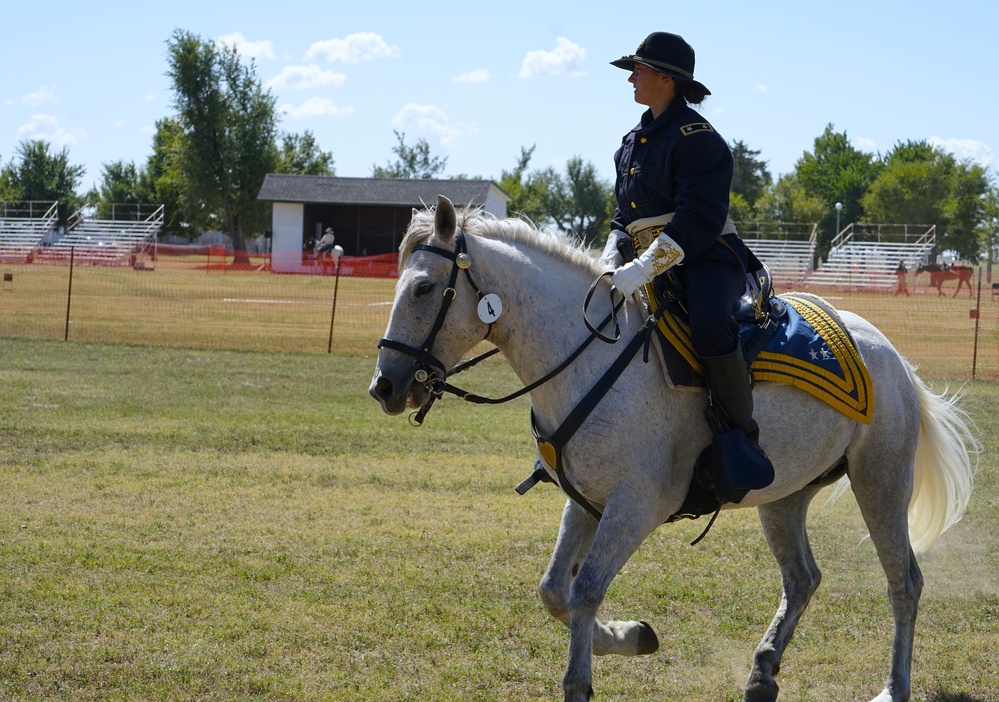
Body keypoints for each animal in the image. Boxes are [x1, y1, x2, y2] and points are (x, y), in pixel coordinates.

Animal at [368, 197, 976, 702]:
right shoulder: (586, 501)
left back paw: (893, 687)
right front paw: (631, 636)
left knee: (904, 582)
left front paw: (581, 681)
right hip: (785, 496)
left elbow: (585, 589)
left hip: (881, 480)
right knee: (803, 578)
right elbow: (555, 590)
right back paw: (762, 672)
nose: (385, 386)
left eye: (423, 288)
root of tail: (890, 355)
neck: (586, 355)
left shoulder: (637, 504)